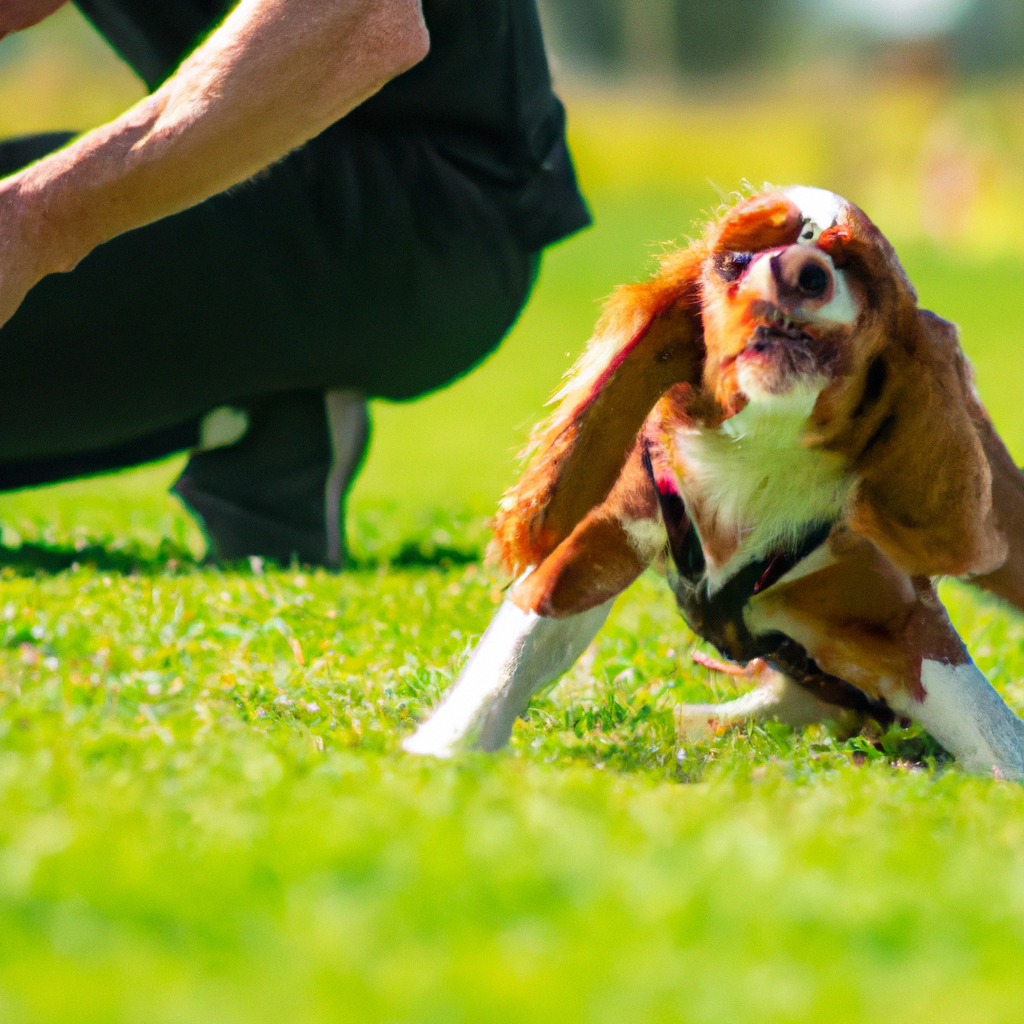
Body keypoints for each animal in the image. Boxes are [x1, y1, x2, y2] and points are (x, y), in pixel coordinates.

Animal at [401, 186, 1024, 774]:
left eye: (852, 265)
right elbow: (516, 646)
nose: (797, 270)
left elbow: (991, 731)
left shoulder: (896, 613)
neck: (762, 451)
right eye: (737, 261)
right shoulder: (600, 542)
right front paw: (446, 746)